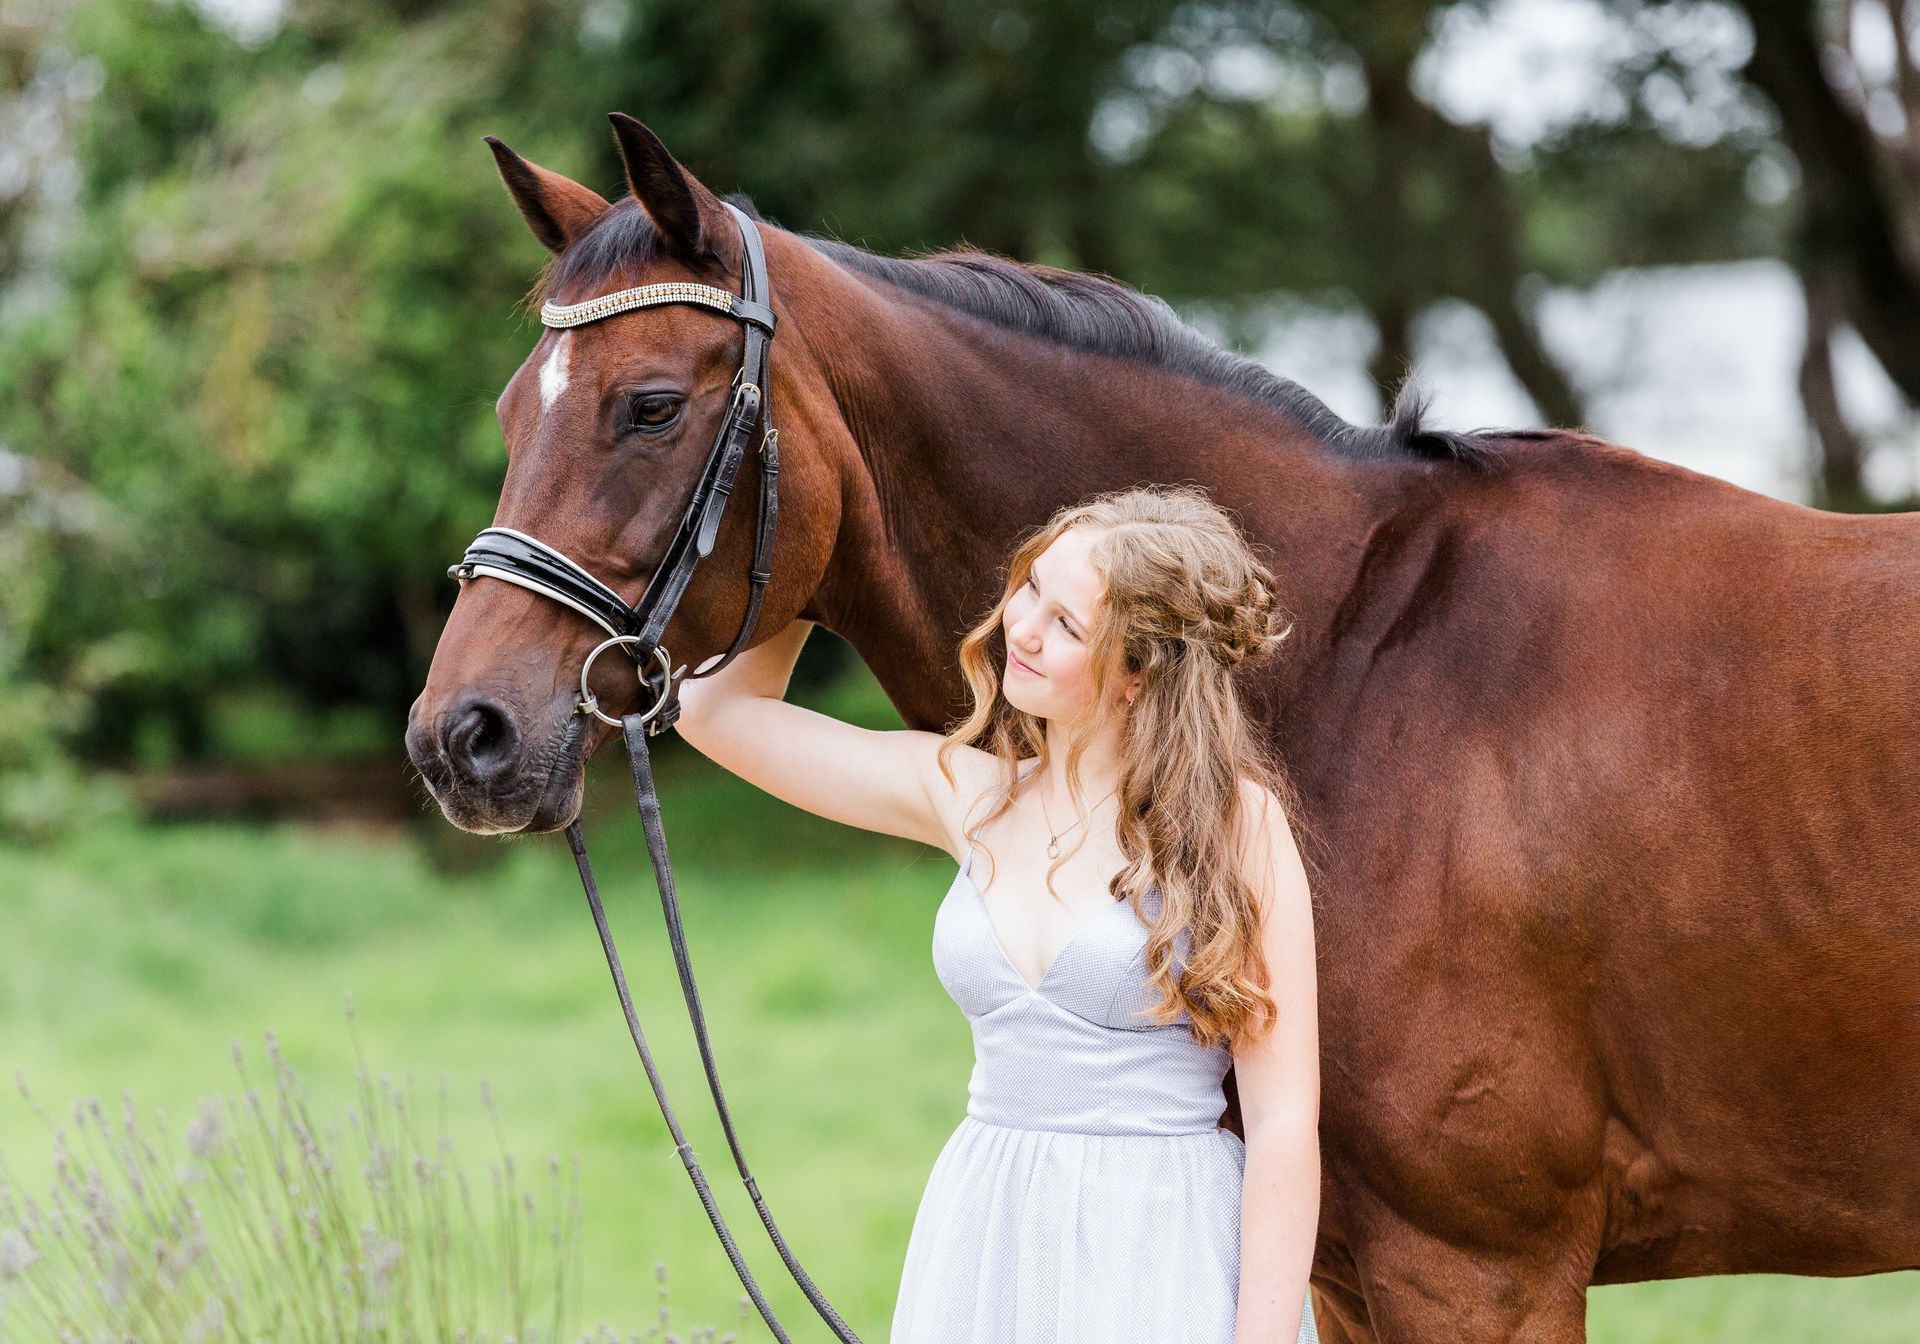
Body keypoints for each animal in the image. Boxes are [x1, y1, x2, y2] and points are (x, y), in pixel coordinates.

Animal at [404, 114, 1920, 1342]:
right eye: (510, 412)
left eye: (650, 407)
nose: (460, 737)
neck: (1363, 668)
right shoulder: (1350, 1268)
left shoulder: (1483, 1267)